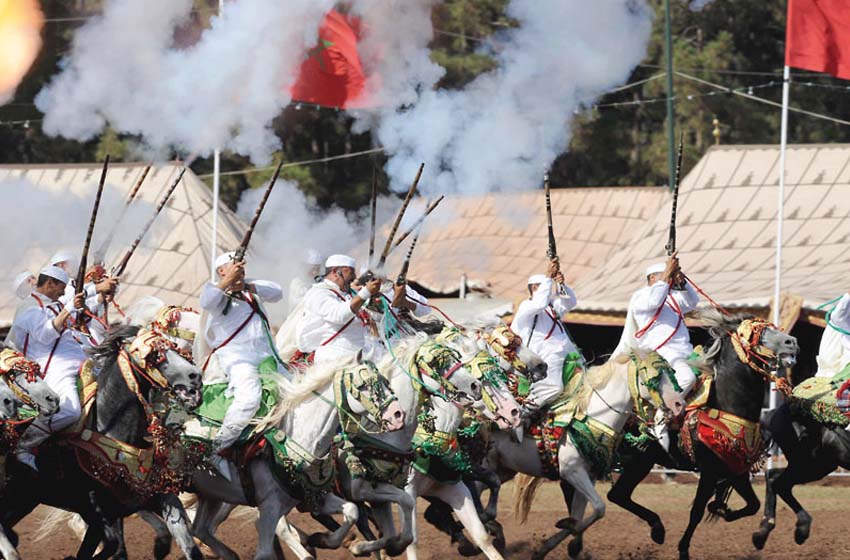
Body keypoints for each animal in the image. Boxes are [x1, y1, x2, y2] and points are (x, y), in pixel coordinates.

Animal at [0, 324, 204, 560]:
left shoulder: (152, 499)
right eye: (155, 355)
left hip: (23, 502)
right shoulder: (95, 511)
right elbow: (110, 547)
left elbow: (189, 546)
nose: (195, 377)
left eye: (173, 346)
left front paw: (162, 545)